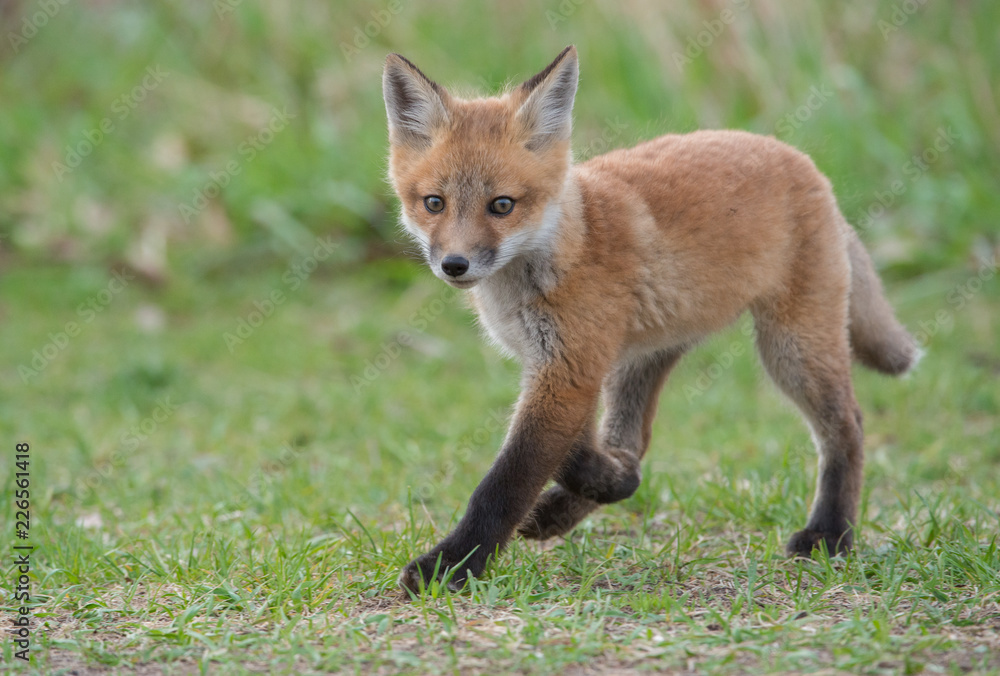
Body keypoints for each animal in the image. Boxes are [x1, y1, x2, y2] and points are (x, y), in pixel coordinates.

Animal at [382, 46, 918, 594]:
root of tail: (800, 159)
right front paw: (604, 481)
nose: (455, 265)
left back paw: (831, 533)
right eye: (434, 203)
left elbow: (508, 480)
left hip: (791, 348)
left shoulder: (569, 370)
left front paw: (449, 565)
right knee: (635, 442)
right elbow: (573, 450)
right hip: (643, 358)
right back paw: (576, 502)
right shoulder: (564, 366)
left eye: (502, 205)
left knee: (847, 426)